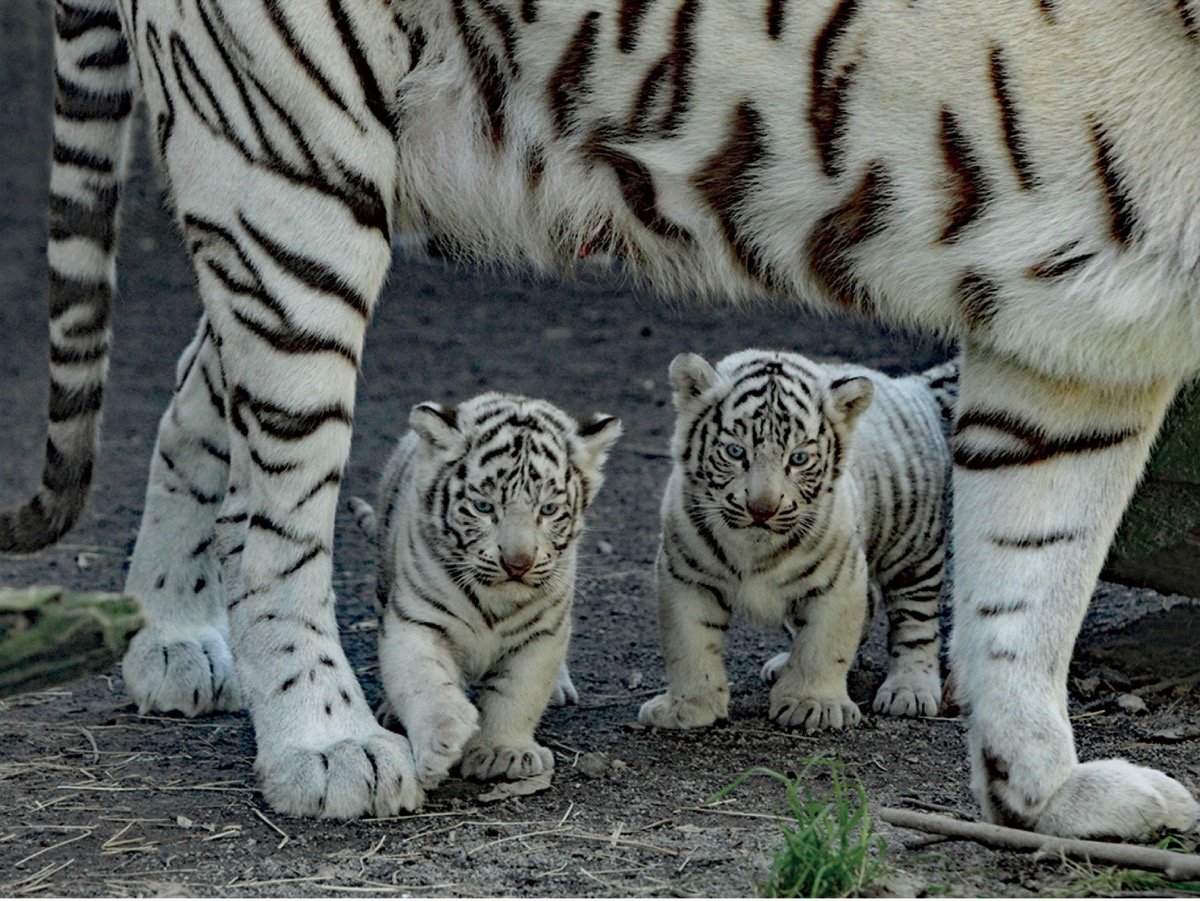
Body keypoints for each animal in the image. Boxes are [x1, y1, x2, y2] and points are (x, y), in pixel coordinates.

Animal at [2, 0, 1200, 835]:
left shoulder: (1080, 314)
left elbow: (1033, 579)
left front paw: (1043, 793)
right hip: (288, 151)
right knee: (281, 501)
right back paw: (325, 743)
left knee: (203, 387)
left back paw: (170, 635)